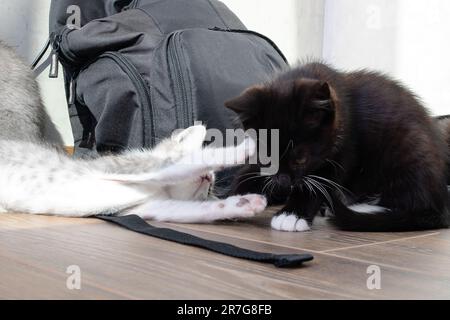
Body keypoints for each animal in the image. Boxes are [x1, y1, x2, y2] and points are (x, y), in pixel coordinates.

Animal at [0, 42, 268, 222]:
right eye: (210, 182)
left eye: (210, 189)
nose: (209, 179)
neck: (158, 189)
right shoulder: (131, 167)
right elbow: (185, 162)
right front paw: (244, 148)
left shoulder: (146, 209)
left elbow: (194, 211)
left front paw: (243, 204)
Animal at [227, 62, 448, 232]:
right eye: (267, 157)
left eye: (301, 159)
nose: (283, 182)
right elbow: (249, 173)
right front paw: (238, 201)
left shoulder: (345, 147)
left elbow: (321, 183)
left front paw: (292, 214)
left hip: (409, 147)